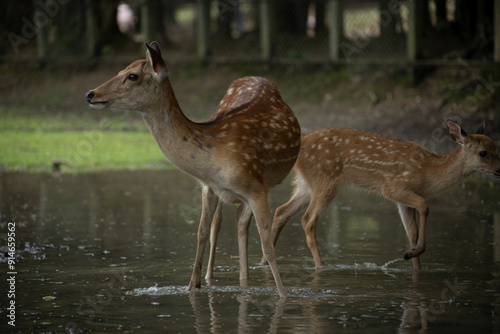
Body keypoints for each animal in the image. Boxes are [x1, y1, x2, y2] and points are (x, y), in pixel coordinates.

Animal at [85, 41, 300, 298]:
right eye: (119, 71)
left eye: (132, 75)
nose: (91, 94)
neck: (216, 155)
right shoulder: (208, 187)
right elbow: (201, 232)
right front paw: (192, 287)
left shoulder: (257, 190)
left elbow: (268, 248)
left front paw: (284, 297)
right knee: (227, 222)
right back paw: (230, 279)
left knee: (242, 222)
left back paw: (244, 281)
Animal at [262, 120, 500, 268]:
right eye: (483, 153)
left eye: (497, 149)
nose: (499, 170)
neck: (426, 172)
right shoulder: (393, 186)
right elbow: (424, 206)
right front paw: (413, 252)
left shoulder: (402, 201)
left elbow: (411, 233)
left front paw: (414, 261)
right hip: (327, 181)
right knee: (307, 220)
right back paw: (321, 266)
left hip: (307, 184)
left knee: (282, 211)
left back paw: (265, 261)